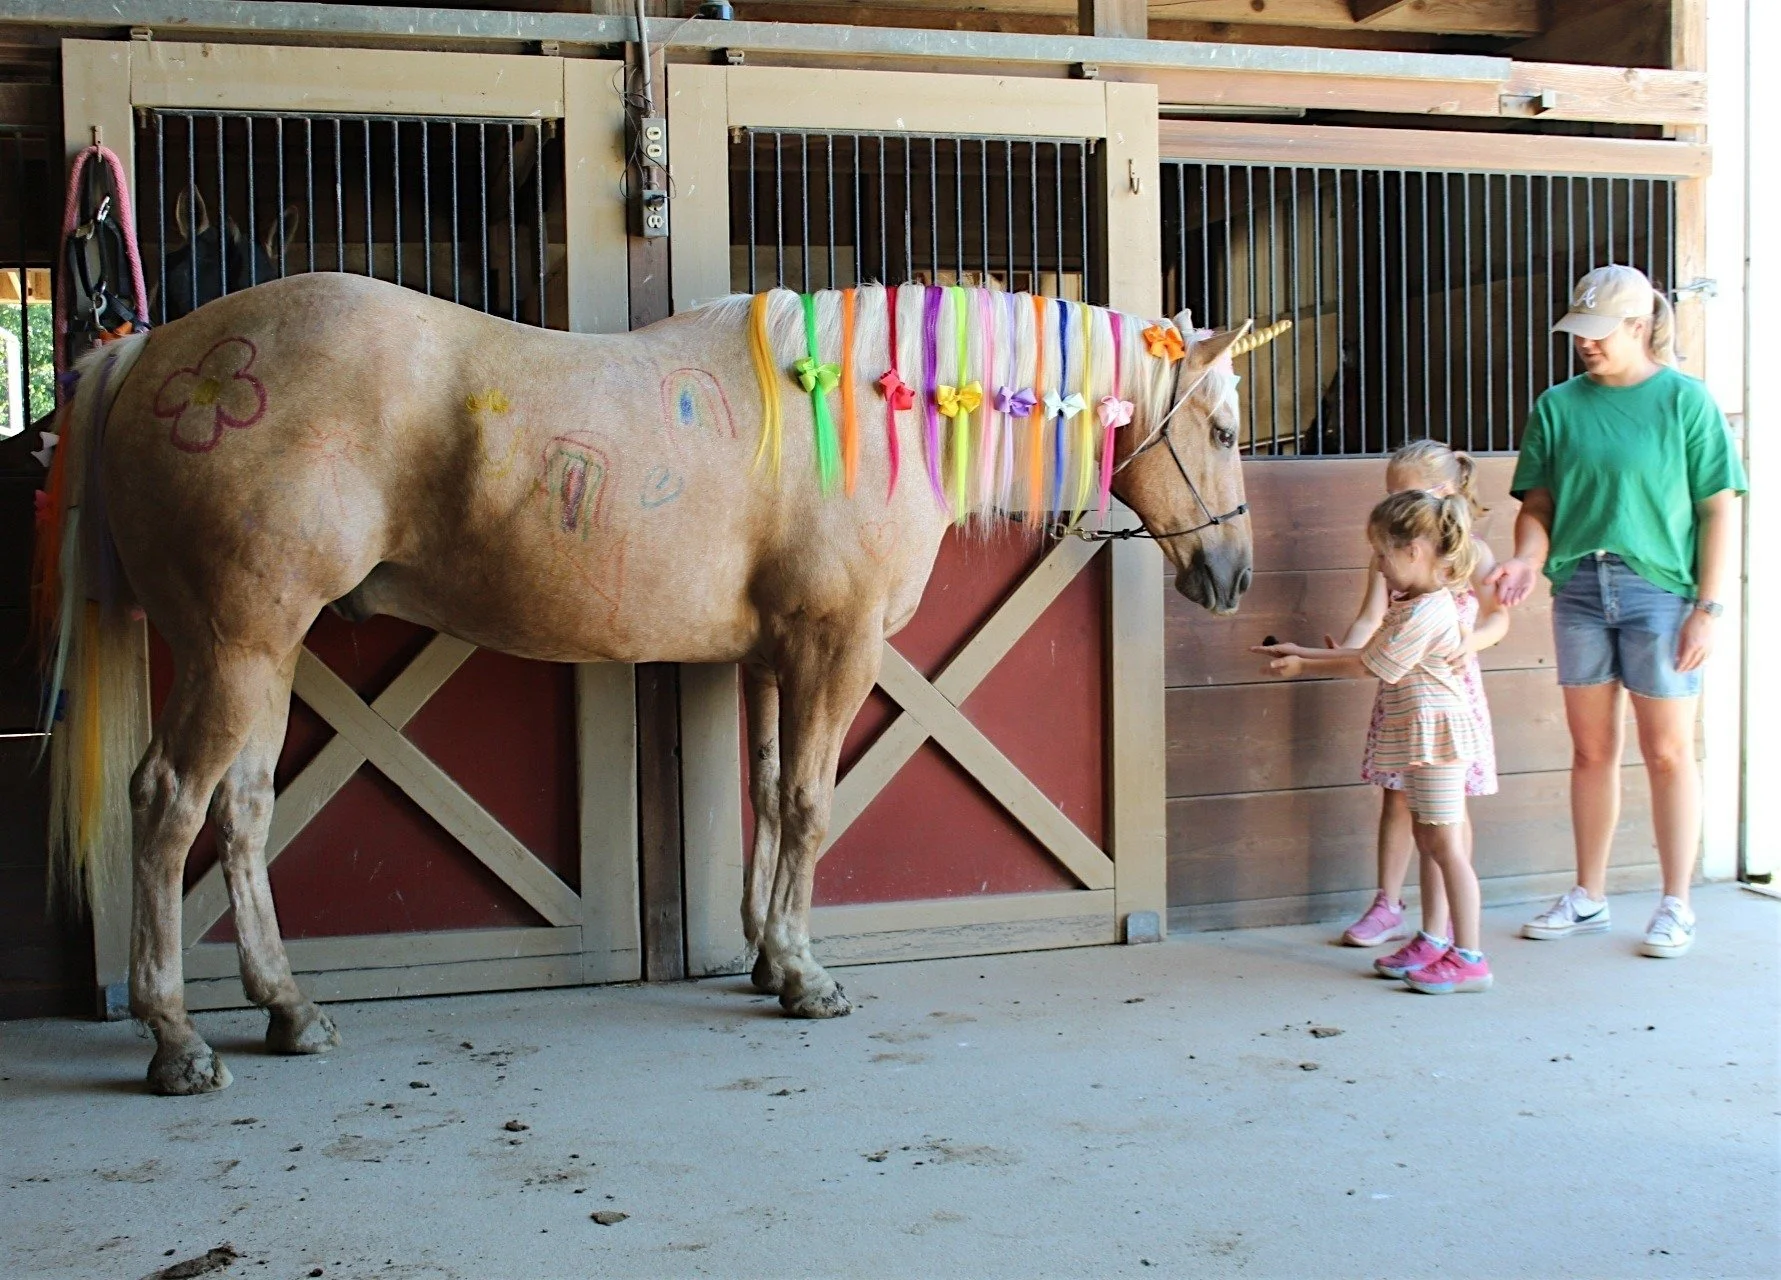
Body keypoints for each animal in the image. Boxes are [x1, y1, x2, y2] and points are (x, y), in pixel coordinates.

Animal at [36, 272, 1261, 1094]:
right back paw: (177, 1040)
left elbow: (766, 796)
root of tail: (158, 350)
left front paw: (766, 956)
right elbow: (810, 807)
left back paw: (289, 1009)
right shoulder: (835, 649)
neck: (864, 406)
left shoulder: (771, 657)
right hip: (236, 647)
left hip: (266, 652)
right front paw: (805, 976)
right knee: (169, 805)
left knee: (241, 814)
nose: (1234, 576)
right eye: (1221, 426)